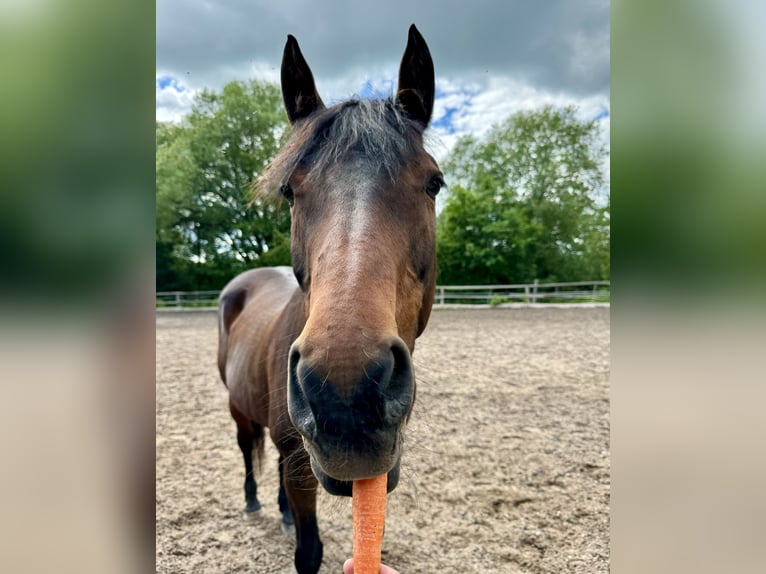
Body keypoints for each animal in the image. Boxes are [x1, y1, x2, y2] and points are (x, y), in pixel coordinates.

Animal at [216, 27, 444, 574]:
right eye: (289, 191)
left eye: (434, 182)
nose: (346, 392)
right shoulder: (304, 470)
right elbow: (309, 551)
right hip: (238, 409)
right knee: (246, 448)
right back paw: (254, 501)